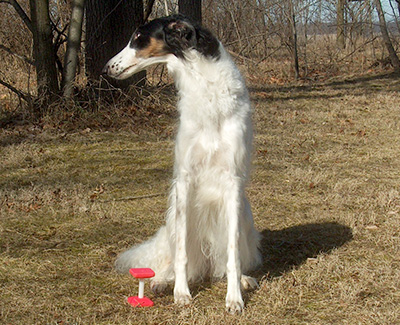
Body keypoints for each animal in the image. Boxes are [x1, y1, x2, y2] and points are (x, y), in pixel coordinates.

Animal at [101, 14, 260, 312]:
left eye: (138, 36)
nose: (107, 69)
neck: (207, 93)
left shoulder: (232, 180)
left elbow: (232, 256)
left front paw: (234, 298)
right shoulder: (184, 180)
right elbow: (182, 256)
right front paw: (181, 293)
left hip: (245, 216)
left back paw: (244, 278)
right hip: (173, 221)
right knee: (172, 261)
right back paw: (161, 281)